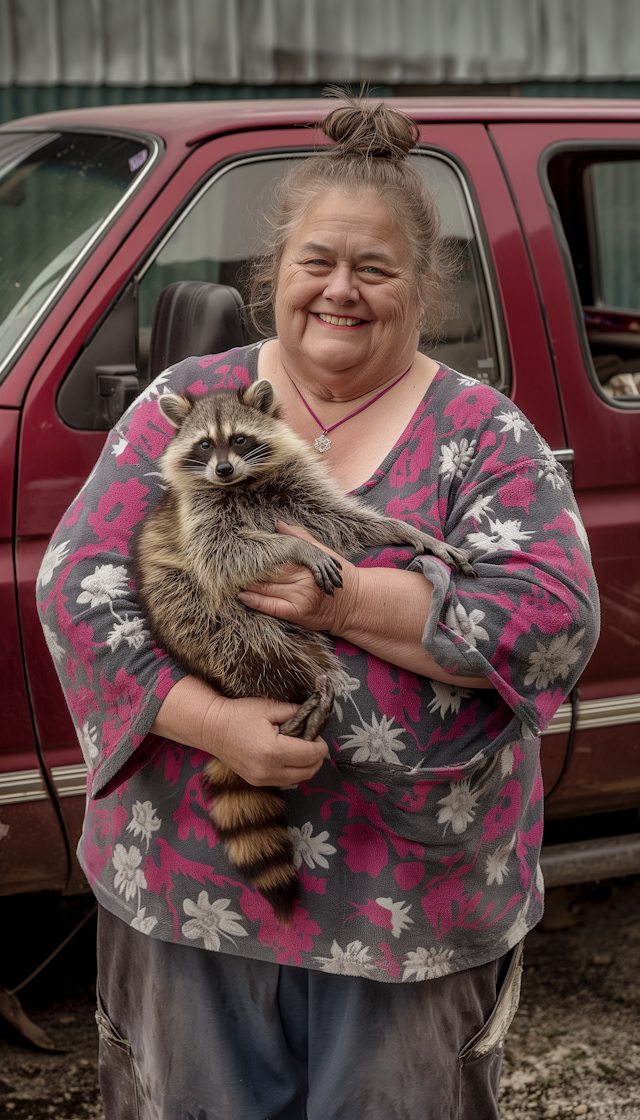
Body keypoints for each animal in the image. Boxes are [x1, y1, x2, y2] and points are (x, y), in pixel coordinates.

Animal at [133, 380, 475, 922]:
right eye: (205, 445)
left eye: (239, 439)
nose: (223, 469)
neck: (243, 483)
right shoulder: (200, 517)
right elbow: (223, 552)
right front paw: (296, 548)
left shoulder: (297, 491)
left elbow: (343, 521)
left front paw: (405, 530)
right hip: (197, 619)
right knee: (246, 634)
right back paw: (308, 683)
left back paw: (321, 682)